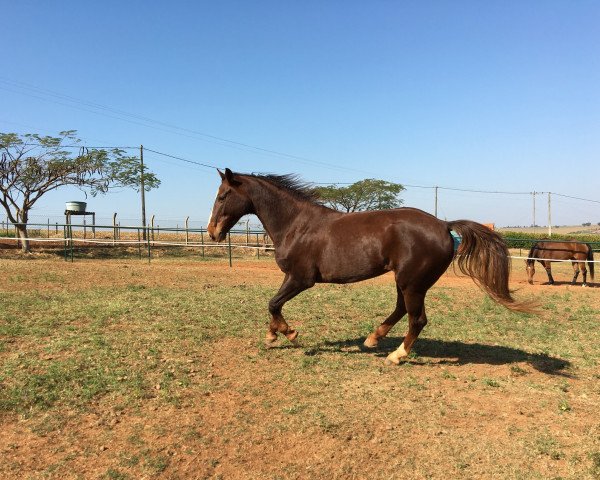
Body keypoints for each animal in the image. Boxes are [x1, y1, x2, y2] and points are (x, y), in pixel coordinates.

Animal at [207, 169, 536, 364]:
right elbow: (273, 304)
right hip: (407, 281)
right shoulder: (294, 279)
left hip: (412, 283)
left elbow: (273, 303)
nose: (212, 233)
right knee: (402, 310)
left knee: (417, 319)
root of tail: (444, 225)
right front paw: (275, 334)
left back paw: (396, 355)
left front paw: (285, 333)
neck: (297, 225)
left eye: (223, 195)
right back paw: (373, 338)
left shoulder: (300, 278)